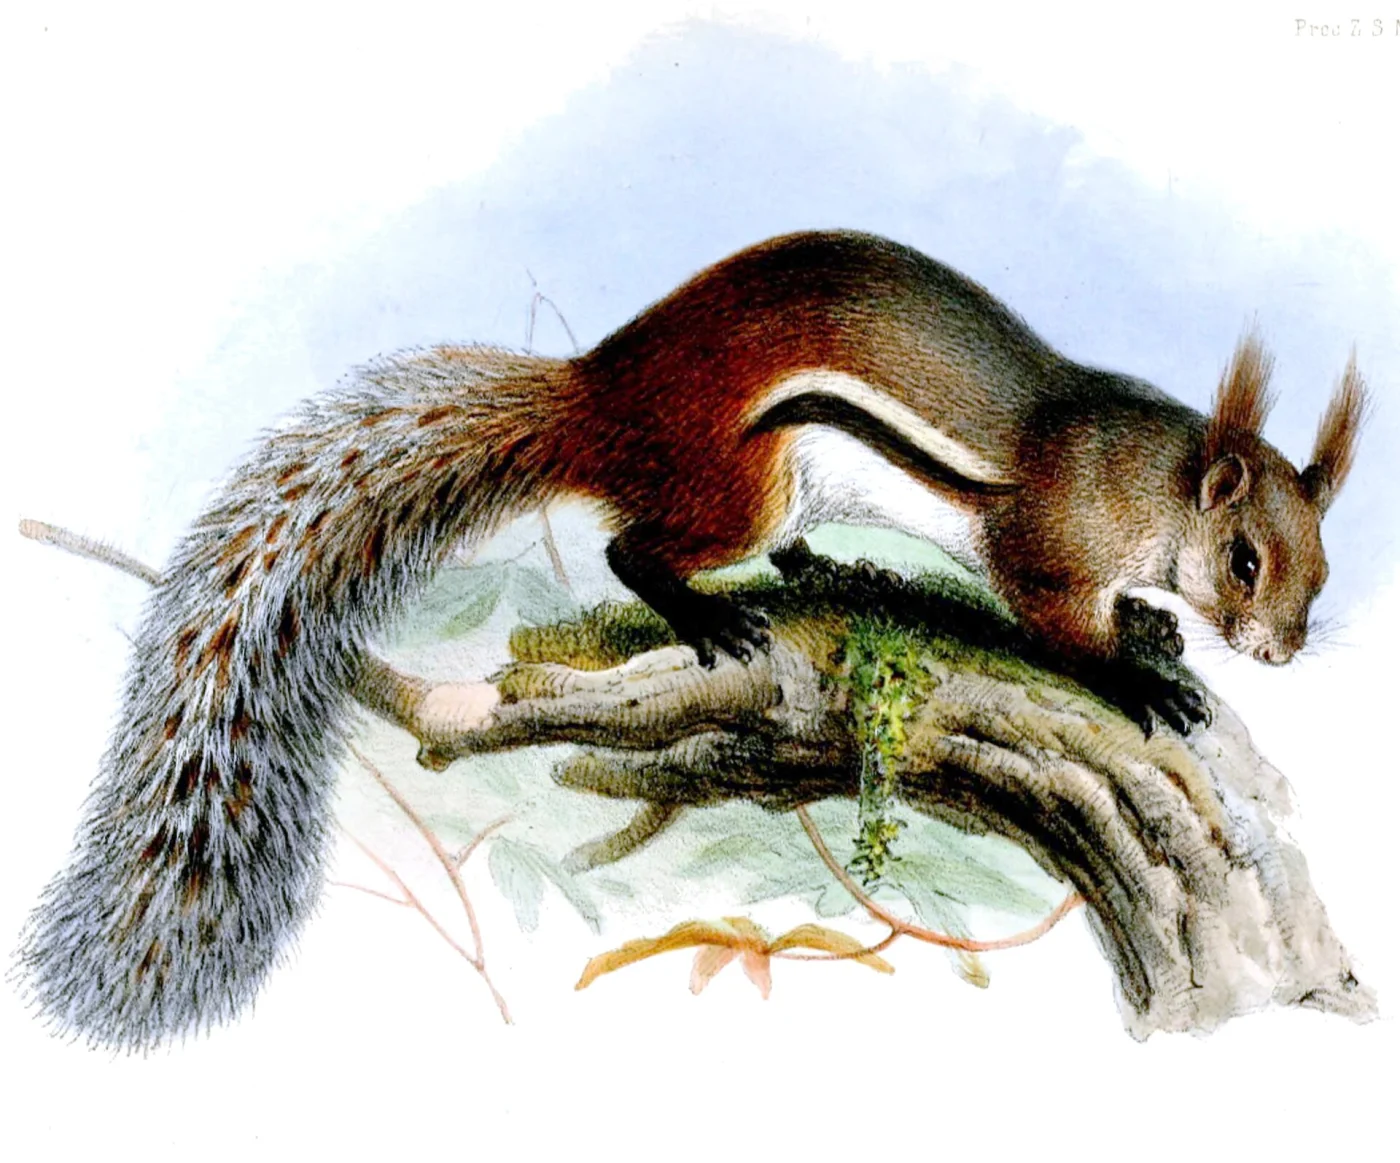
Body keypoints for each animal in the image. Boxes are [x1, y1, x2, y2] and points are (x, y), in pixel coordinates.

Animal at [18, 229, 1367, 1050]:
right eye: (1244, 559)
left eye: (1317, 565)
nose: (1276, 652)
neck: (1143, 482)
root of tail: (601, 403)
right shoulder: (1042, 541)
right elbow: (1051, 620)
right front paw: (1139, 676)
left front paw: (1148, 624)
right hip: (741, 479)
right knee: (637, 548)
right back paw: (707, 607)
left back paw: (833, 569)